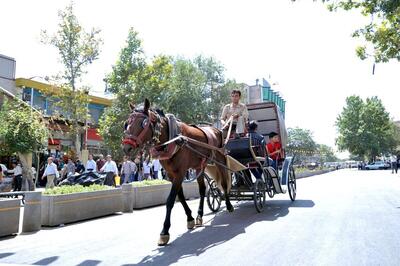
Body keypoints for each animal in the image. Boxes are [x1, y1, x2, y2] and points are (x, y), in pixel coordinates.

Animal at [123, 99, 233, 245]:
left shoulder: (181, 172)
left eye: (144, 123)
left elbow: (170, 200)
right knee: (202, 190)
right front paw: (190, 219)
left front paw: (164, 232)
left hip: (219, 160)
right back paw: (199, 215)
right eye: (127, 123)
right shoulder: (171, 174)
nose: (126, 147)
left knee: (225, 183)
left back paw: (229, 205)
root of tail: (217, 130)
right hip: (200, 166)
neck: (172, 139)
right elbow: (180, 197)